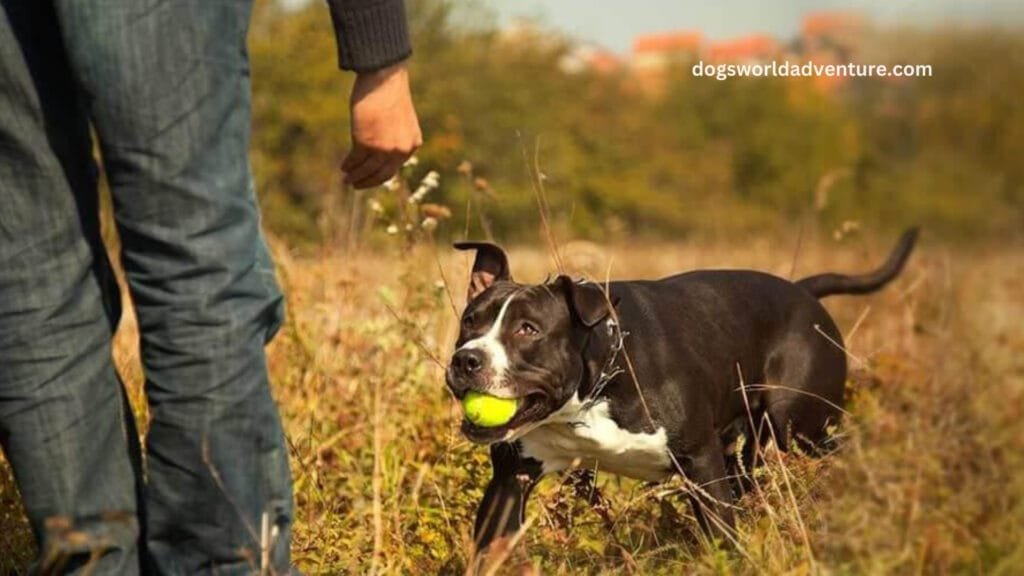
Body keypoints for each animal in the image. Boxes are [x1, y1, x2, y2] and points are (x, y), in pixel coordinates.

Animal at [446, 228, 921, 545]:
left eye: (528, 329)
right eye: (470, 321)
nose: (467, 359)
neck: (592, 391)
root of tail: (802, 292)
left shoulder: (702, 464)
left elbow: (723, 542)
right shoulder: (509, 483)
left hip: (800, 425)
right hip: (748, 449)